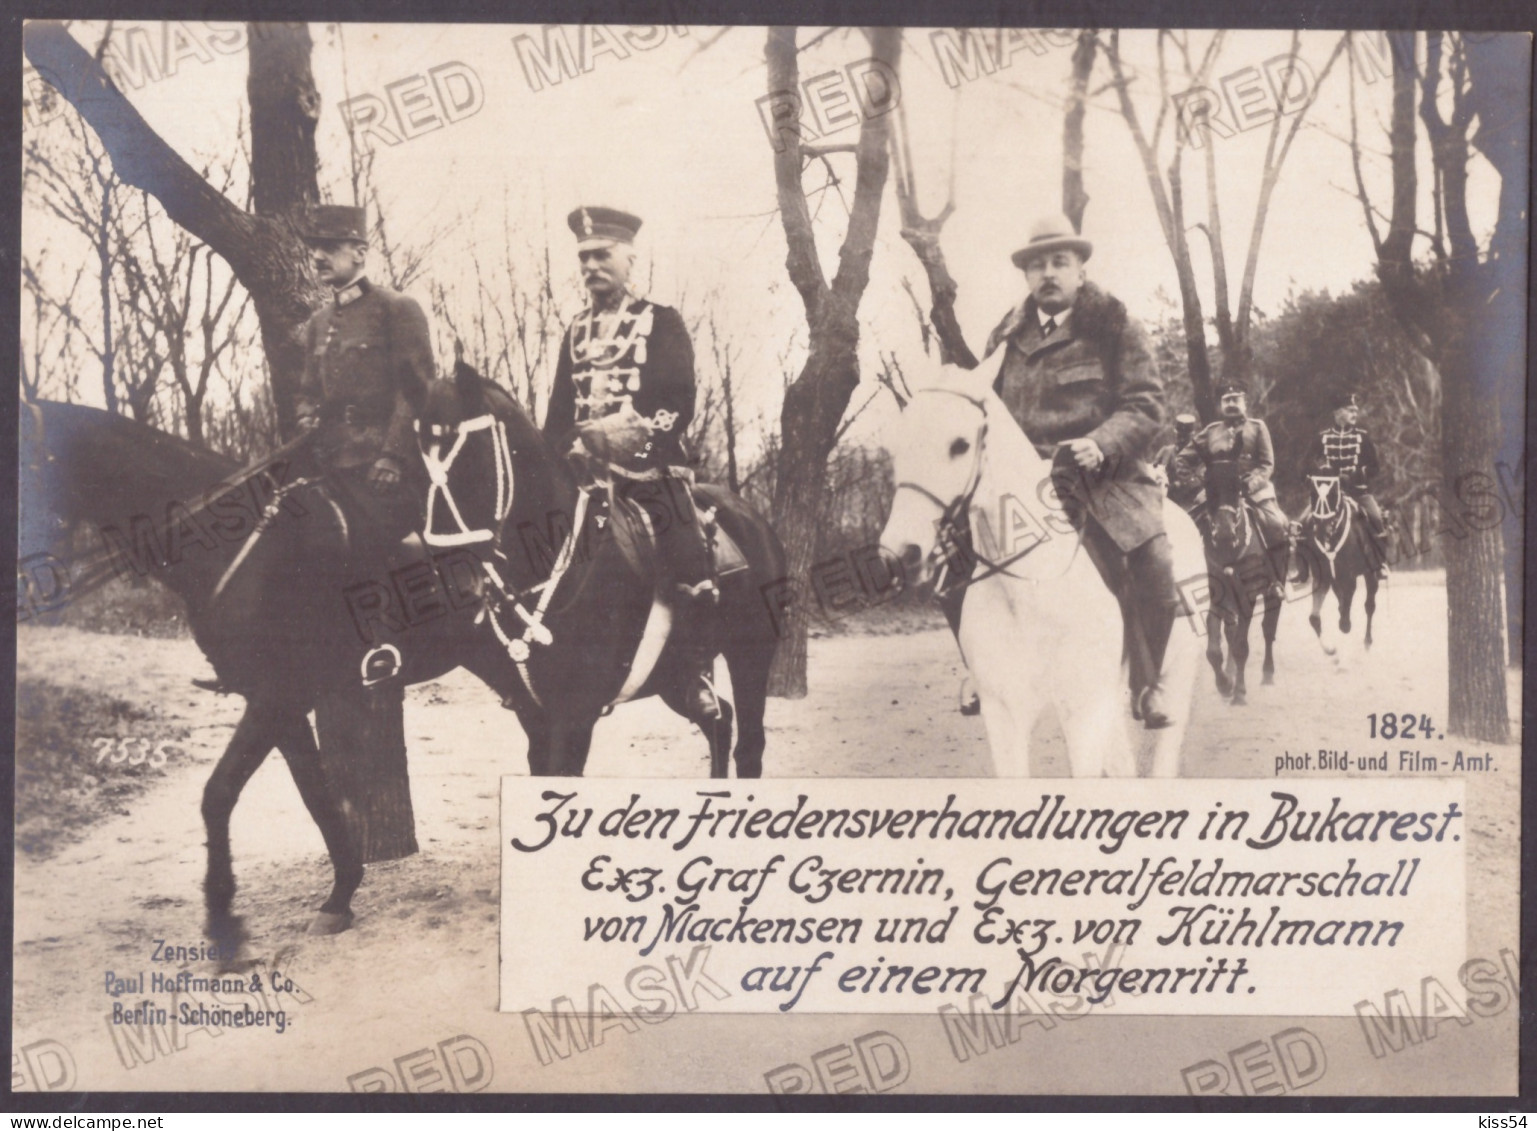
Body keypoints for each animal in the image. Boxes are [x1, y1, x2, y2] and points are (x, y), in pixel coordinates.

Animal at [418, 362, 786, 777]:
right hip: (672, 677)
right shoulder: (534, 712)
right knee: (719, 721)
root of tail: (755, 518)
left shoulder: (576, 714)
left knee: (749, 746)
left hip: (751, 657)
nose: (455, 581)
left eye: (471, 457)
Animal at [879, 359, 1198, 777]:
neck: (1029, 589)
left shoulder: (1083, 713)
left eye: (960, 444)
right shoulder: (1004, 715)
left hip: (1175, 682)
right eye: (895, 447)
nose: (900, 553)